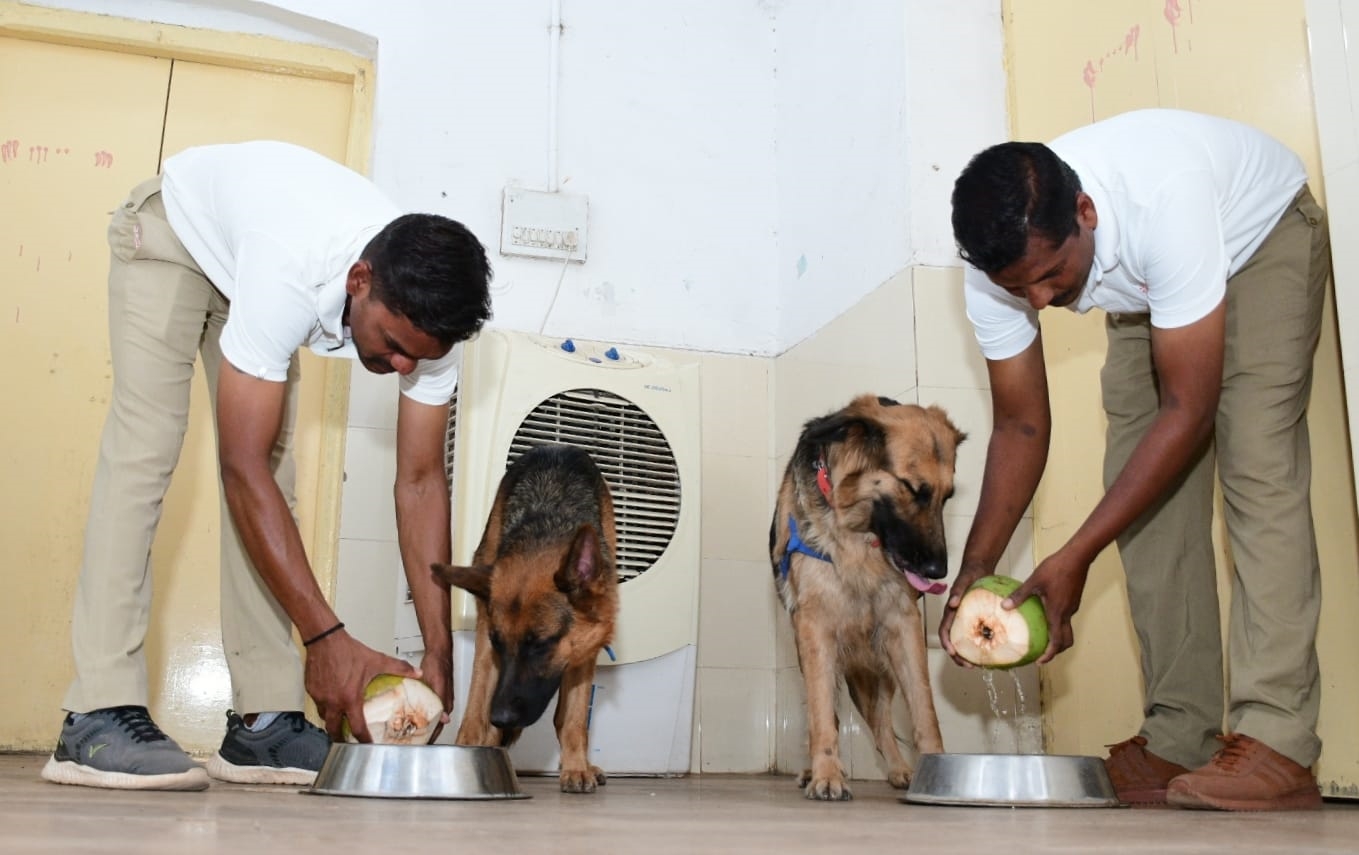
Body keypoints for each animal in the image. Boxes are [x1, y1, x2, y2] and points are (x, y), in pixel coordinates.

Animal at [432, 443, 619, 788]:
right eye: (500, 643)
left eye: (541, 644)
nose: (501, 717)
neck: (549, 525)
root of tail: (558, 445)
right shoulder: (487, 641)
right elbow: (477, 705)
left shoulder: (585, 649)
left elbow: (574, 719)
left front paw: (576, 766)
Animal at [766, 394, 967, 799]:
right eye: (913, 488)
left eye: (946, 496)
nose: (938, 572)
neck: (860, 536)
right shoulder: (815, 626)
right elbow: (822, 713)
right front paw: (827, 774)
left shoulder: (903, 624)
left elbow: (924, 709)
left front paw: (933, 770)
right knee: (831, 712)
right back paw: (816, 769)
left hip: (878, 670)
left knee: (880, 723)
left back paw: (900, 769)